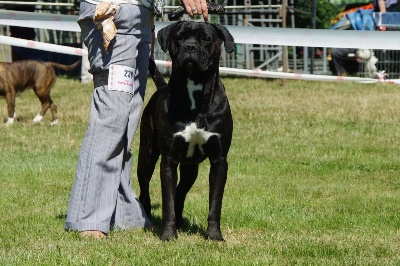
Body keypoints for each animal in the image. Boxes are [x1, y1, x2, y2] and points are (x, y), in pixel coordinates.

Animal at [139, 20, 236, 241]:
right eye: (179, 38)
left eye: (206, 39)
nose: (190, 47)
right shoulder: (169, 159)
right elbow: (167, 200)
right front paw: (168, 234)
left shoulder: (219, 160)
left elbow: (215, 203)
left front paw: (214, 235)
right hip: (147, 155)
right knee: (145, 187)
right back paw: (147, 217)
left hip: (190, 168)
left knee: (181, 191)